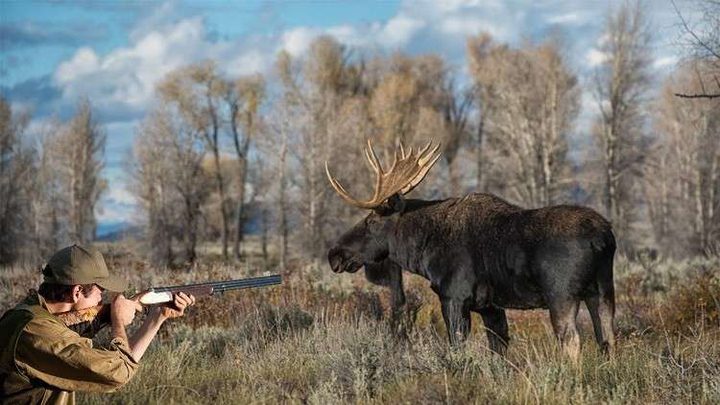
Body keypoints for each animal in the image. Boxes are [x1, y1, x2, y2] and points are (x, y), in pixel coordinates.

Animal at [326, 140, 612, 358]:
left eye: (371, 221)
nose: (334, 255)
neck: (423, 251)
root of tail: (603, 238)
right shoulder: (491, 307)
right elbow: (498, 351)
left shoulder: (454, 297)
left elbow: (457, 347)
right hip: (602, 291)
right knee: (606, 337)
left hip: (562, 295)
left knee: (572, 341)